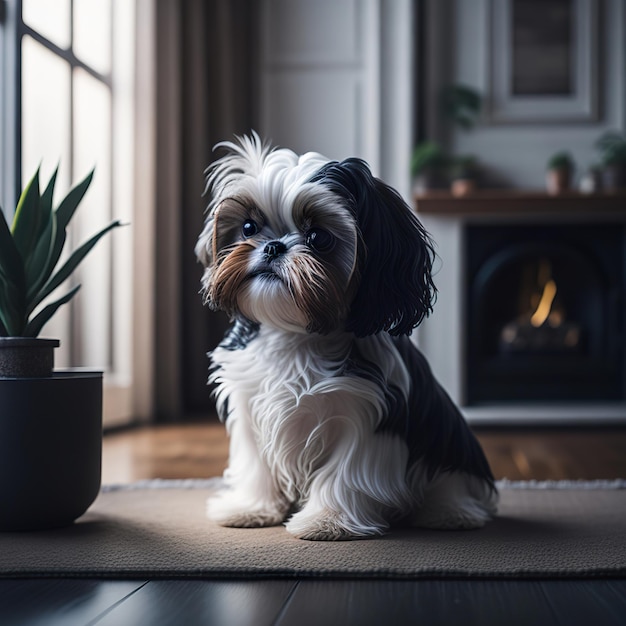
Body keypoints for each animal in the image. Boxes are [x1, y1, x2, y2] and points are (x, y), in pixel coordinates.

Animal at [195, 133, 498, 540]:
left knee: (451, 484)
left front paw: (328, 521)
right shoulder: (249, 404)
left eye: (318, 237)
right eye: (248, 228)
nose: (273, 246)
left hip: (449, 444)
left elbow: (346, 471)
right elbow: (255, 462)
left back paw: (451, 513)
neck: (296, 333)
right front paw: (251, 508)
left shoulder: (367, 410)